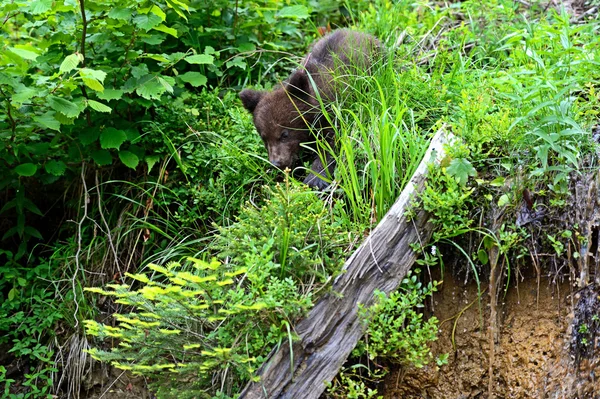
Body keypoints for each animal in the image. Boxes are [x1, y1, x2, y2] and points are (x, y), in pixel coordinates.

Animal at [240, 29, 378, 189]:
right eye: (263, 136)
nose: (276, 163)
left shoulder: (332, 113)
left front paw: (315, 178)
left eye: (284, 134)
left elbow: (331, 144)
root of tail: (359, 32)